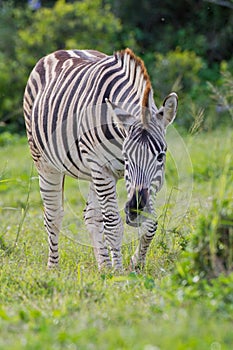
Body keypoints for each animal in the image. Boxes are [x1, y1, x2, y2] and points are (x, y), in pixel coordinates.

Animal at [23, 47, 177, 270]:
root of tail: (63, 50)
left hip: (92, 173)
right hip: (45, 163)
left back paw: (103, 267)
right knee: (53, 216)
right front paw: (120, 272)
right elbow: (113, 224)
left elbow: (151, 224)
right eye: (127, 157)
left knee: (91, 216)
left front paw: (135, 265)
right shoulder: (102, 169)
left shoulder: (145, 183)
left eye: (160, 156)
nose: (135, 210)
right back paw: (53, 268)